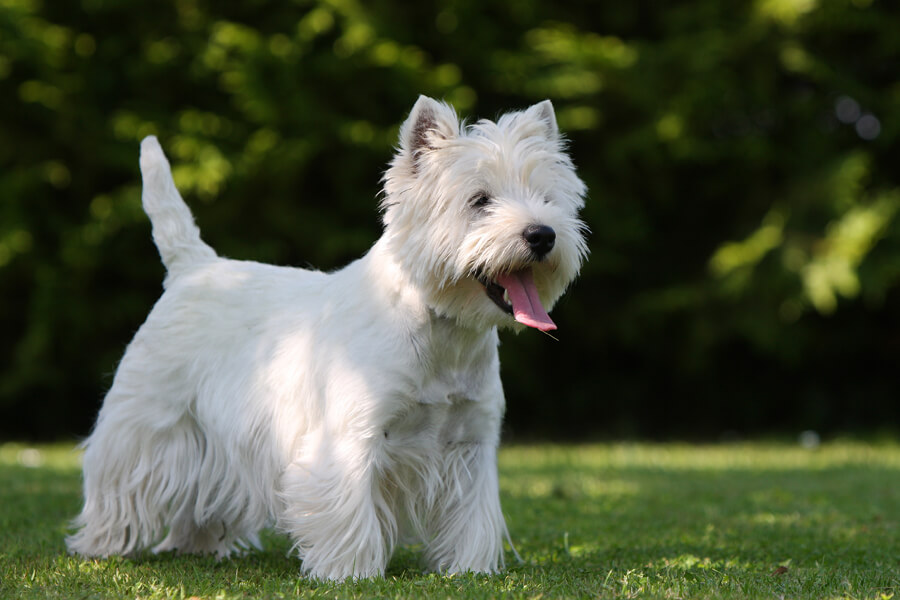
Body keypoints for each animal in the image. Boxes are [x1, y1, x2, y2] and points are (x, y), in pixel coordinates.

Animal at [70, 96, 592, 580]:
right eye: (479, 200)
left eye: (547, 198)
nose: (542, 235)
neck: (442, 333)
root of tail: (194, 266)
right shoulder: (349, 437)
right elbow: (348, 508)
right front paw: (352, 572)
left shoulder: (470, 443)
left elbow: (471, 517)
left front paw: (469, 570)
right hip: (148, 419)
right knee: (120, 480)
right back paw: (102, 546)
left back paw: (195, 547)